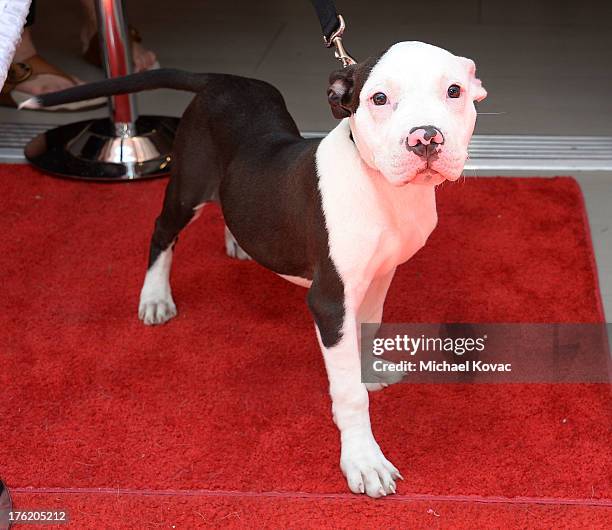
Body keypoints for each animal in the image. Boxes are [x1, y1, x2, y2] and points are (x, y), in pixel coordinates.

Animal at [27, 41, 488, 496]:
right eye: (378, 98)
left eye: (454, 91)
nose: (425, 137)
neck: (383, 189)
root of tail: (221, 79)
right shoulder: (330, 300)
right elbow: (349, 394)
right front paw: (364, 460)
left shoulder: (379, 275)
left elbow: (369, 327)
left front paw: (368, 370)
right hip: (188, 185)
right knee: (162, 230)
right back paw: (155, 296)